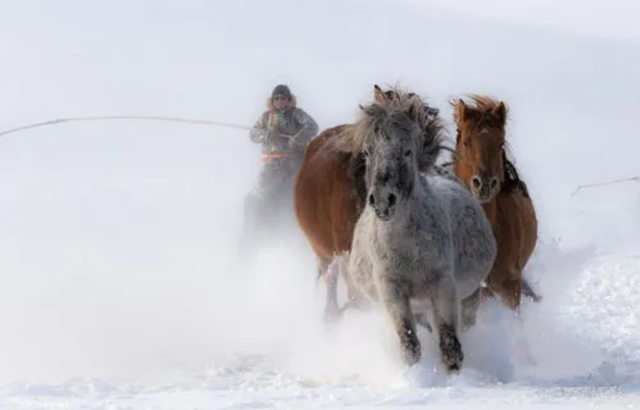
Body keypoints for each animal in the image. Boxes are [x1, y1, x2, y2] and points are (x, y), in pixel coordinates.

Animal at [344, 87, 496, 374]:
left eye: (406, 151)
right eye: (367, 152)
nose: (383, 202)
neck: (405, 245)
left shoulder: (443, 286)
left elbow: (449, 344)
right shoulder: (392, 291)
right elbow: (409, 343)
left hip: (468, 295)